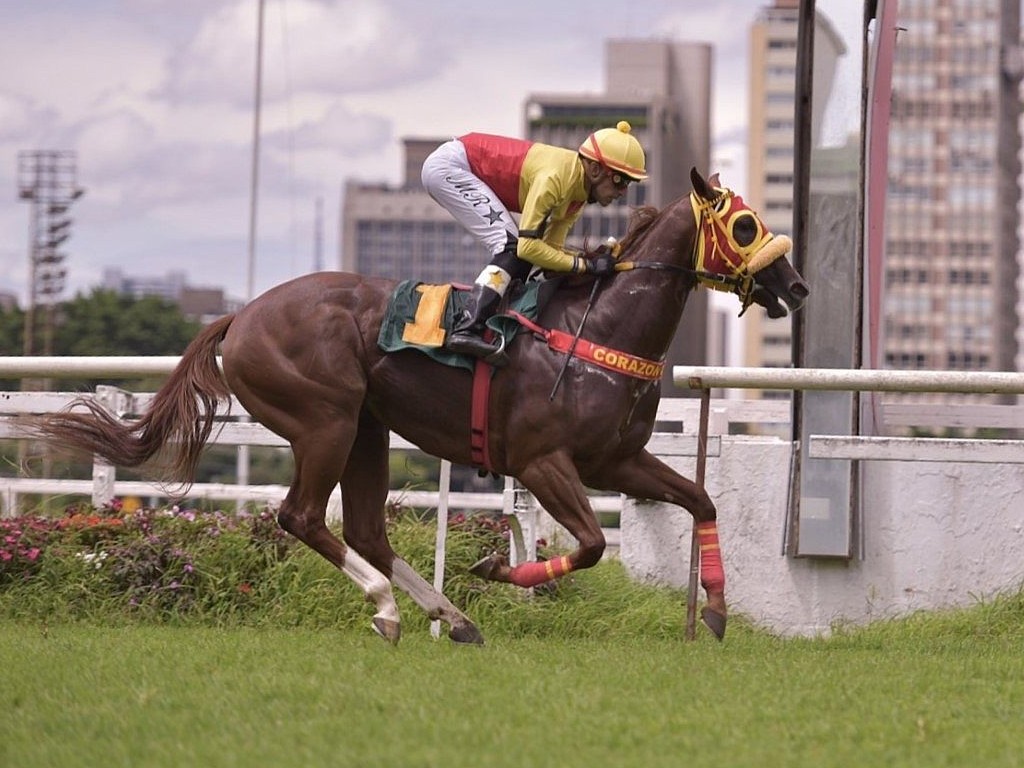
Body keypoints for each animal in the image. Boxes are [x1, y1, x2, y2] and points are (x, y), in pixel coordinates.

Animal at [32, 167, 806, 643]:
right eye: (744, 225)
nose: (795, 288)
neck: (599, 329)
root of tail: (241, 316)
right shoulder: (543, 461)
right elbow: (588, 545)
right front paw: (498, 570)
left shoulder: (615, 459)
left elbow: (702, 500)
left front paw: (715, 610)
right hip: (325, 420)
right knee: (302, 516)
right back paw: (388, 609)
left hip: (367, 430)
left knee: (365, 528)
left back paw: (451, 618)